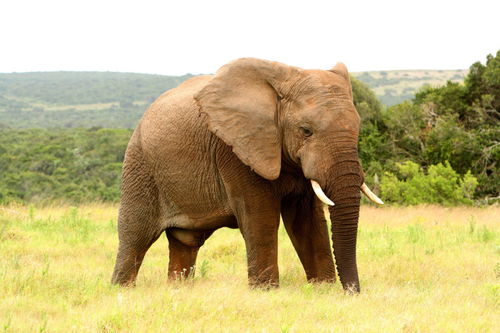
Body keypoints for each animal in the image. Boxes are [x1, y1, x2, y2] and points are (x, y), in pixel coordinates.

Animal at [110, 58, 382, 292]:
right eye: (306, 131)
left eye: (358, 128)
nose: (353, 292)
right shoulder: (235, 148)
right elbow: (261, 217)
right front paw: (266, 291)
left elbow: (307, 219)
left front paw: (322, 289)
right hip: (139, 165)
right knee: (135, 237)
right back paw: (121, 290)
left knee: (185, 241)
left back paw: (177, 291)